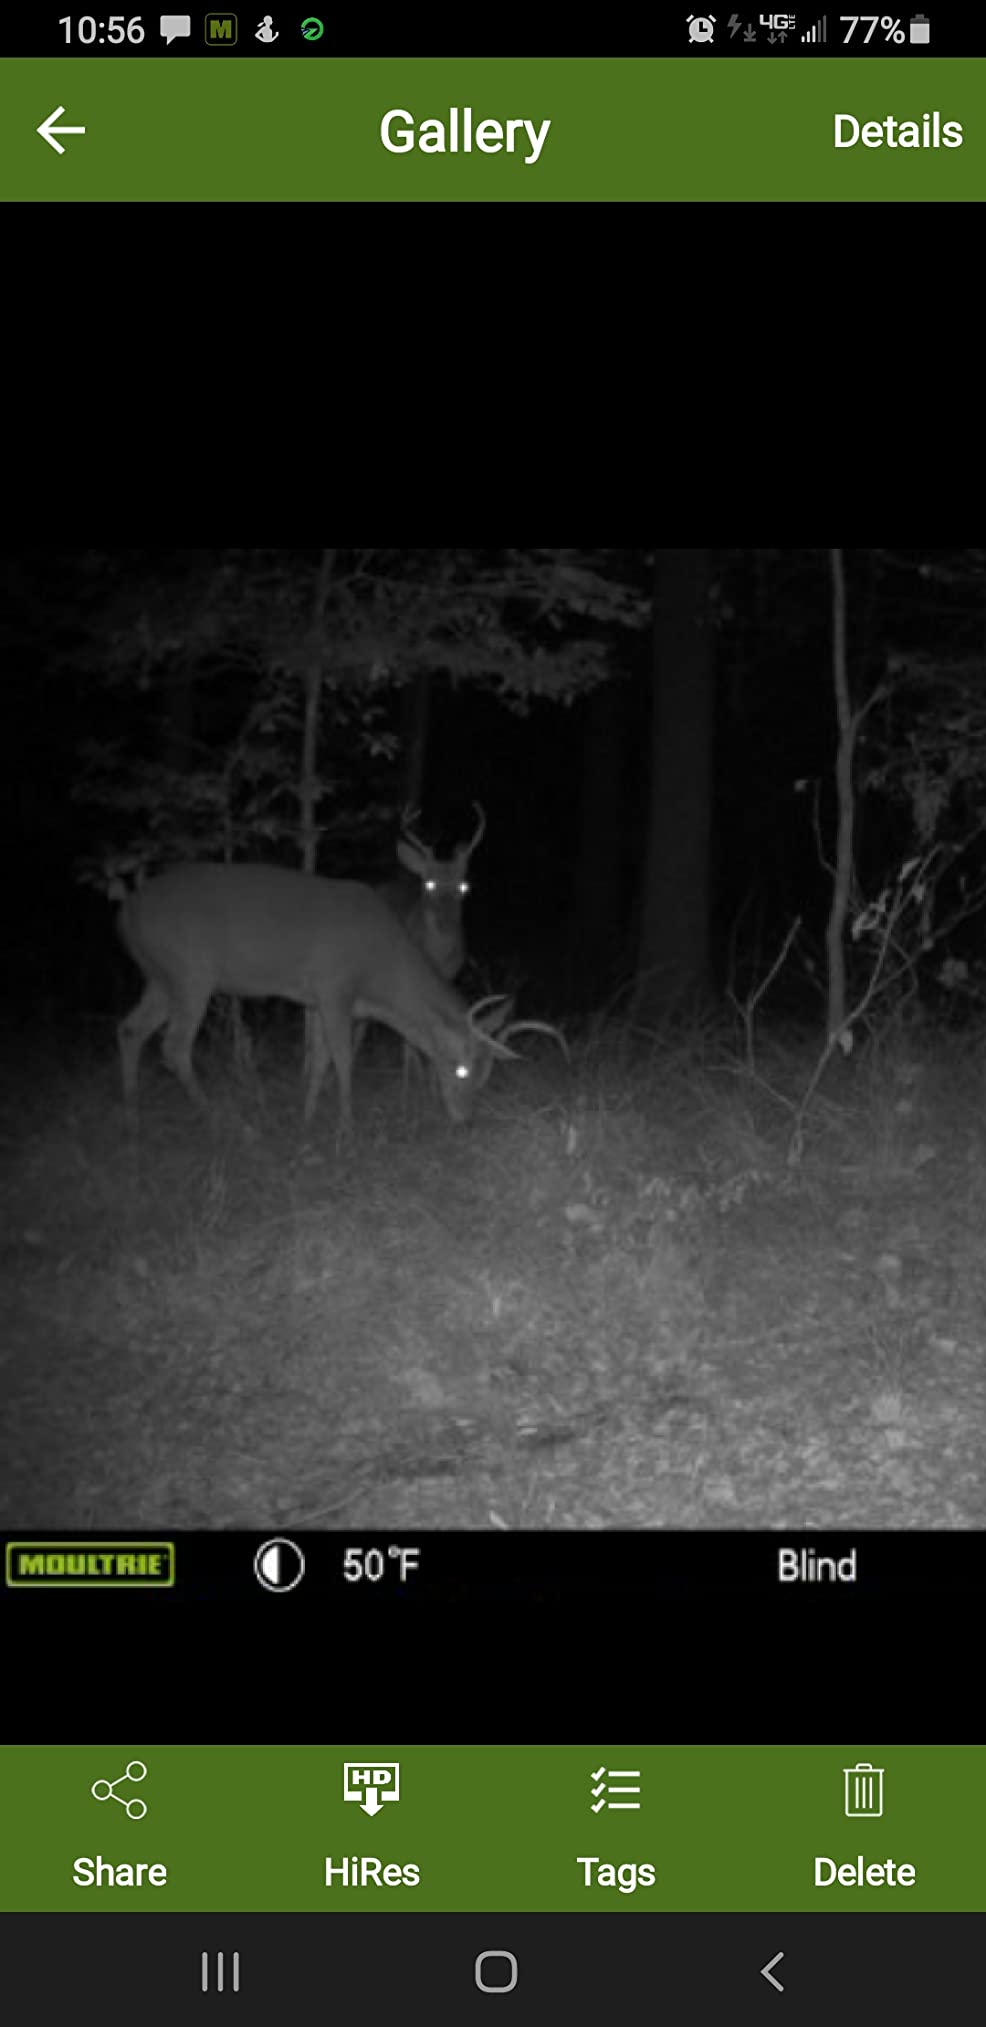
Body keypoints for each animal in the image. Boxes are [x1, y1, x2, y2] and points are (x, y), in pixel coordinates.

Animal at [115, 861, 557, 1134]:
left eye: (485, 1077)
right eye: (461, 1070)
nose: (465, 1121)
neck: (379, 971)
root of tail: (126, 911)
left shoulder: (319, 999)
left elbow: (319, 1060)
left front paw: (307, 1118)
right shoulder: (333, 987)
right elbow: (343, 1058)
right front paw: (347, 1126)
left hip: (160, 977)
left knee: (130, 1030)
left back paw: (133, 1121)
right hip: (190, 971)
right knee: (174, 1046)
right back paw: (223, 1122)